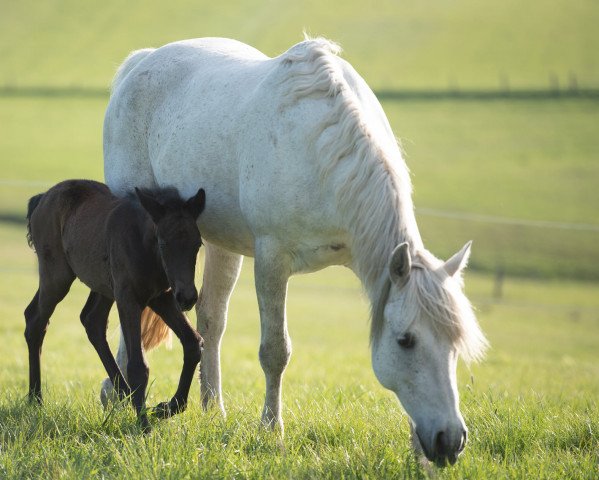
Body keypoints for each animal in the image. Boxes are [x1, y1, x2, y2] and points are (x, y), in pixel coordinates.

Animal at [25, 179, 206, 428]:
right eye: (163, 243)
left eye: (197, 244)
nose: (187, 297)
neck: (142, 244)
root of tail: (42, 198)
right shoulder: (128, 298)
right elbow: (138, 366)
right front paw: (144, 426)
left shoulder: (162, 297)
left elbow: (193, 343)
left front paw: (166, 408)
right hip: (57, 276)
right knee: (36, 320)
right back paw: (35, 398)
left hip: (103, 286)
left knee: (91, 320)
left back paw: (124, 395)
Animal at [103, 36, 488, 464]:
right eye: (406, 340)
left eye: (455, 342)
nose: (450, 440)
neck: (321, 148)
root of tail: (142, 62)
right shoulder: (272, 261)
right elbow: (275, 351)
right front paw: (272, 431)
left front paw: (418, 456)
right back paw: (117, 396)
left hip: (222, 245)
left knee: (210, 320)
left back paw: (213, 410)